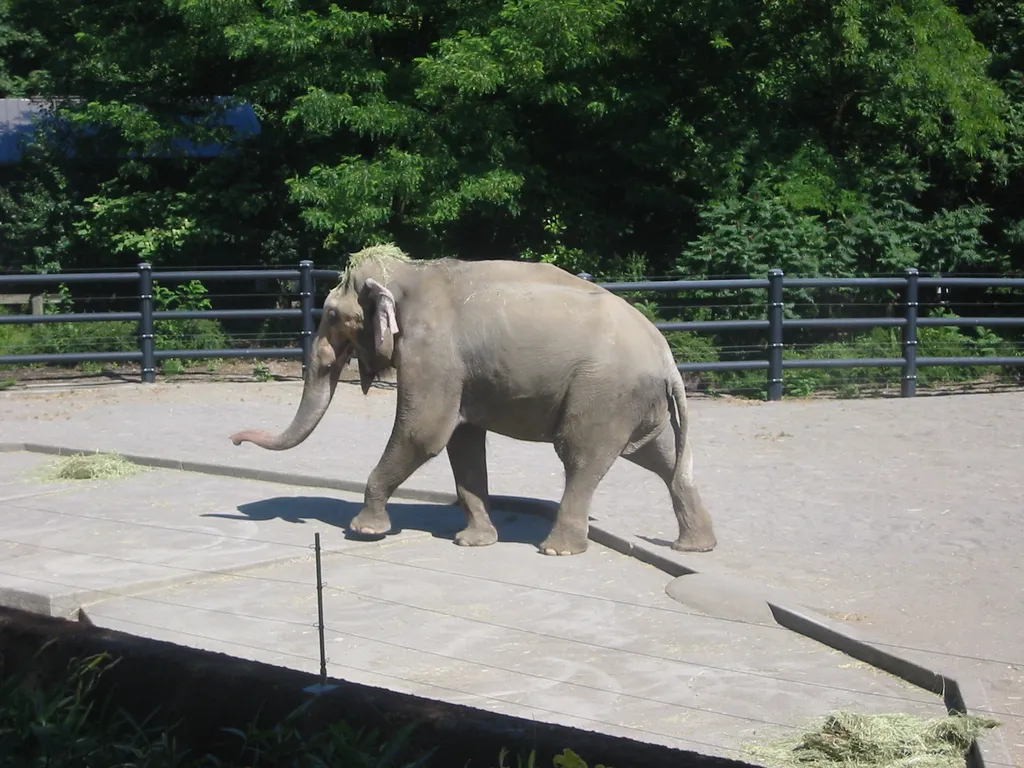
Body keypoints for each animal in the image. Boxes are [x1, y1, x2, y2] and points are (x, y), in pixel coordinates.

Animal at [230, 244, 717, 556]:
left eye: (332, 315)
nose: (233, 440)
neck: (410, 272)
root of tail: (668, 359)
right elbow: (462, 442)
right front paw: (474, 542)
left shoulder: (432, 352)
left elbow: (424, 432)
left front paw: (365, 530)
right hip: (634, 401)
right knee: (662, 458)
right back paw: (695, 546)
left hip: (602, 393)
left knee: (580, 457)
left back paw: (557, 551)